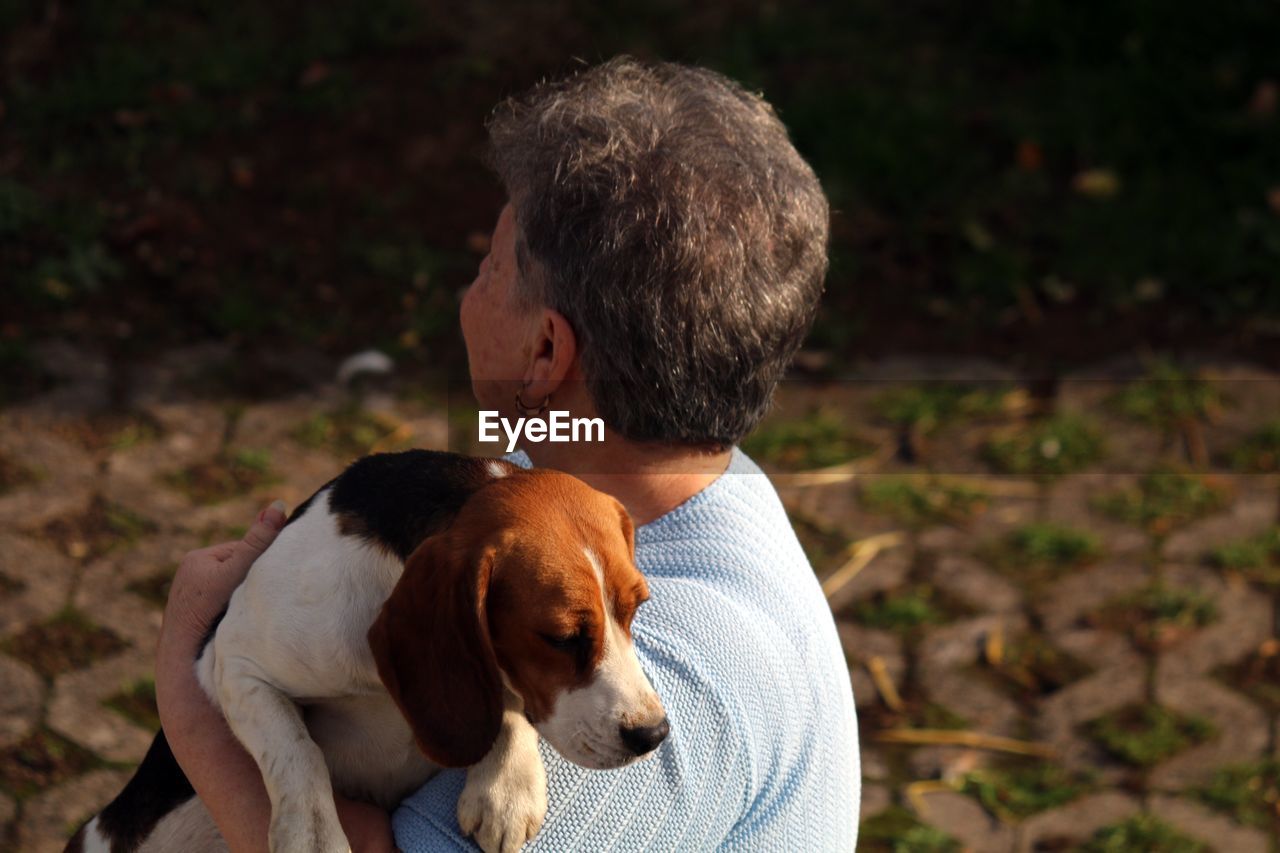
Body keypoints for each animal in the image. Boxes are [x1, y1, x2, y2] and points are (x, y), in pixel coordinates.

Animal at [67, 448, 670, 850]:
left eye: (636, 608)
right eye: (559, 638)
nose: (653, 735)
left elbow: (506, 699)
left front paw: (505, 789)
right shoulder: (232, 664)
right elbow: (297, 751)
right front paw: (311, 837)